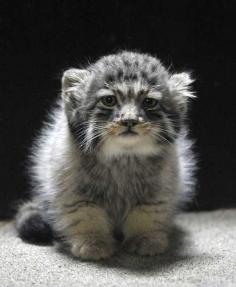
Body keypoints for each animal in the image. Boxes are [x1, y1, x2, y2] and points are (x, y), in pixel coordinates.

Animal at [15, 51, 195, 260]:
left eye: (149, 102)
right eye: (109, 100)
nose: (129, 120)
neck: (123, 158)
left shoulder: (157, 192)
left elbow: (146, 215)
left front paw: (146, 239)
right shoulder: (74, 193)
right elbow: (86, 216)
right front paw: (93, 243)